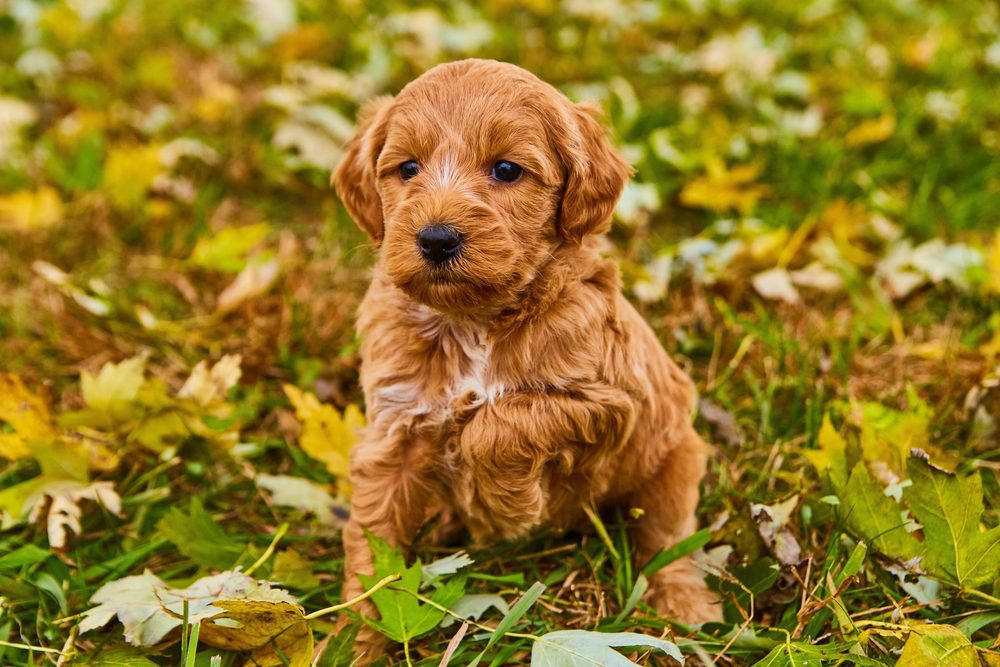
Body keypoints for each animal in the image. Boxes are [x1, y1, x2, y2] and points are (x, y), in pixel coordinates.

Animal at [334, 58, 720, 664]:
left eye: (507, 170)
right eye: (408, 168)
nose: (436, 238)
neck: (473, 321)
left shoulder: (612, 402)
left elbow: (499, 423)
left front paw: (507, 507)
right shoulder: (394, 431)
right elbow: (375, 547)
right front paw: (353, 641)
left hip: (672, 458)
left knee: (668, 539)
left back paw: (684, 606)